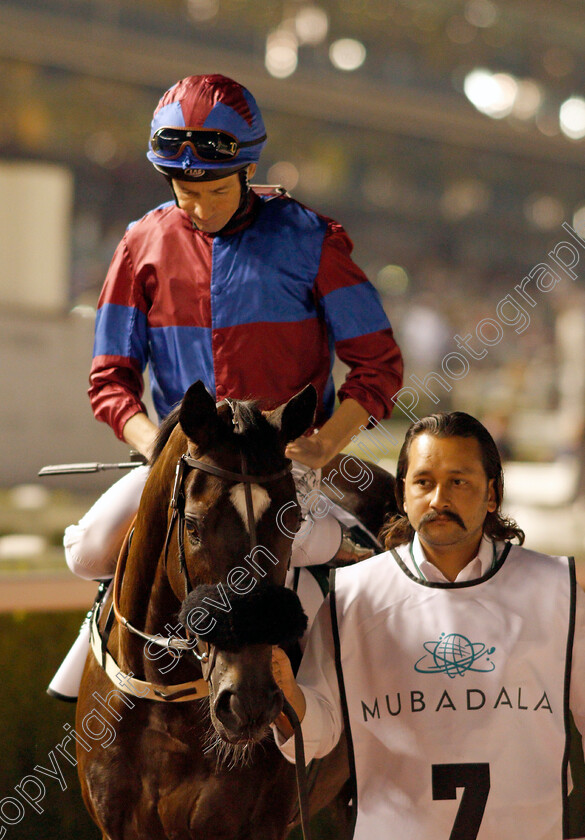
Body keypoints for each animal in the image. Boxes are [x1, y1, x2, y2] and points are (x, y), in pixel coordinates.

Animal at [75, 382, 396, 840]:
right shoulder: (117, 826)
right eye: (193, 525)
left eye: (293, 523)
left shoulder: (257, 824)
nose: (249, 702)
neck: (168, 699)